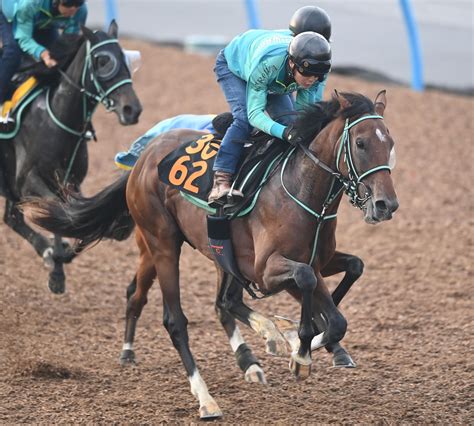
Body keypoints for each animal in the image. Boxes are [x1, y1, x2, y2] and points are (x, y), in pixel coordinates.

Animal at [0, 20, 141, 292]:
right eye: (102, 60)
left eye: (126, 60)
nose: (132, 109)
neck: (58, 119)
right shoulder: (27, 180)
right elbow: (61, 210)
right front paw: (56, 265)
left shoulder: (69, 181)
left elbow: (71, 213)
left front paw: (61, 256)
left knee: (12, 218)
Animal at [25, 90, 396, 420]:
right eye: (361, 143)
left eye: (390, 143)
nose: (385, 204)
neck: (301, 189)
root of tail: (144, 157)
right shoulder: (267, 269)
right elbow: (305, 283)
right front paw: (300, 349)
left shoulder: (316, 262)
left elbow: (344, 295)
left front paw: (304, 343)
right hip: (162, 243)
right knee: (176, 320)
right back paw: (206, 400)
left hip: (217, 252)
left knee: (224, 301)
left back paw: (263, 341)